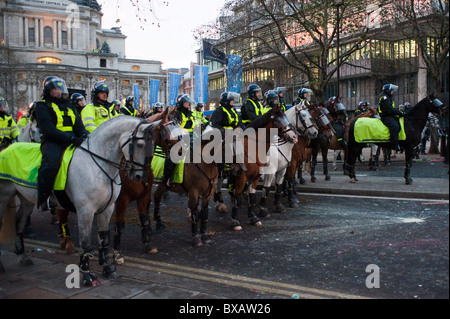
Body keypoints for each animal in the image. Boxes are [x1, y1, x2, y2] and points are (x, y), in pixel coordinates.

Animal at [0, 116, 157, 286]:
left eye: (153, 145)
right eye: (140, 145)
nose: (139, 176)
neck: (97, 165)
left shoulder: (107, 209)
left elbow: (104, 238)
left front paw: (108, 269)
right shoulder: (85, 211)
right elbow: (85, 242)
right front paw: (88, 276)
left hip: (26, 199)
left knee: (19, 222)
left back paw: (22, 256)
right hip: (4, 196)